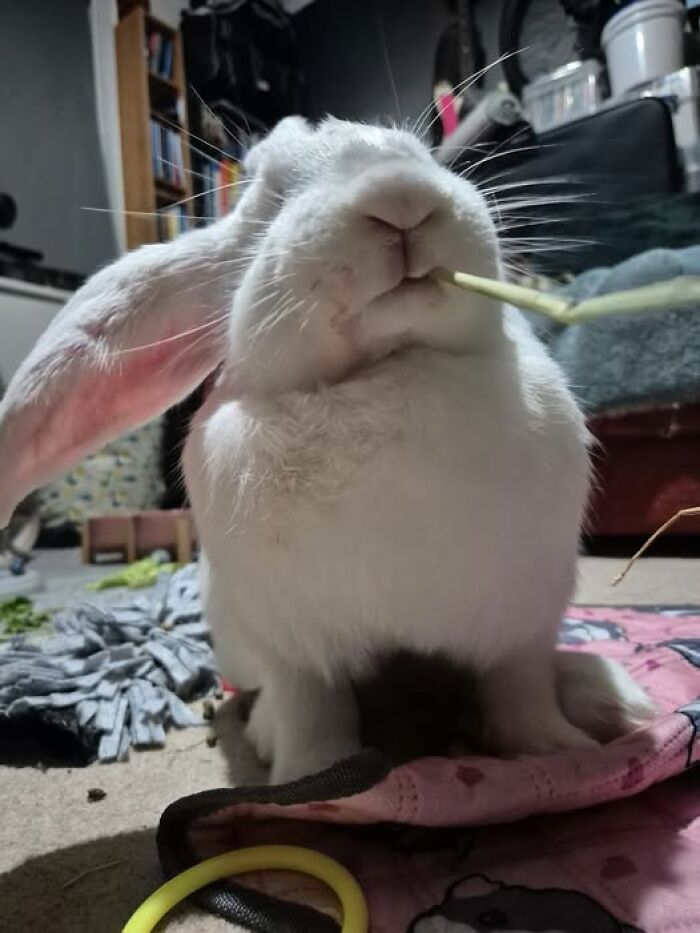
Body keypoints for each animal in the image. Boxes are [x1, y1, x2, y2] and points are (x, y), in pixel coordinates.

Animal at [0, 116, 654, 783]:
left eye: (420, 156)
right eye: (269, 197)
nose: (399, 196)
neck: (390, 368)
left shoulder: (520, 624)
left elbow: (518, 695)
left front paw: (561, 753)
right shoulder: (295, 647)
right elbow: (313, 711)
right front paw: (311, 780)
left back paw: (612, 697)